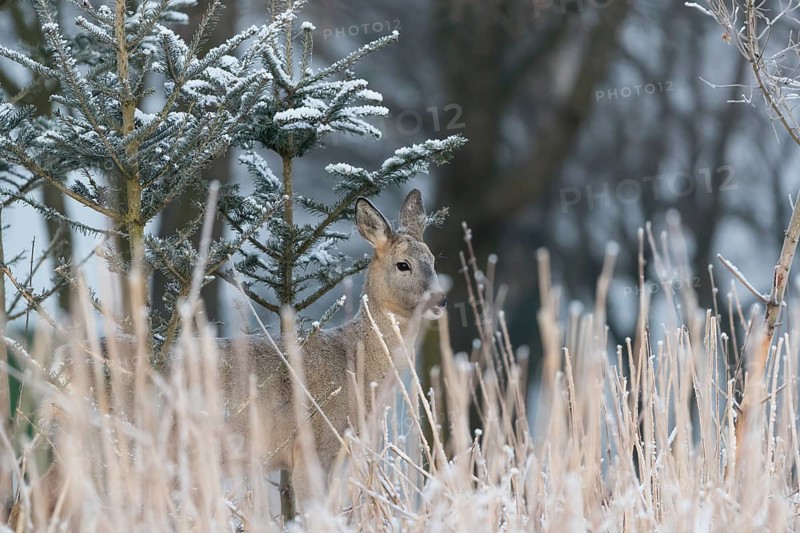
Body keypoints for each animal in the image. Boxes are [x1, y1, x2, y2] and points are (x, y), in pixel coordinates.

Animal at [10, 188, 447, 524]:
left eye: (434, 260)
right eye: (403, 265)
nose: (441, 299)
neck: (354, 362)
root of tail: (60, 366)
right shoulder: (312, 446)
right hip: (107, 440)